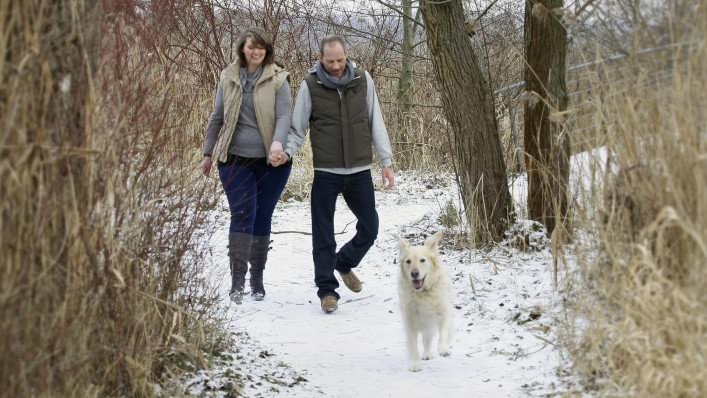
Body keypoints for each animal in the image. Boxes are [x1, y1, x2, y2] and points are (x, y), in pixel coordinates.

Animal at [398, 232, 454, 372]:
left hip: (430, 325)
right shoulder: (410, 321)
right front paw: (414, 364)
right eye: (408, 261)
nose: (414, 273)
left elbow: (444, 332)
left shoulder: (443, 313)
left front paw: (443, 349)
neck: (423, 293)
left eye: (422, 260)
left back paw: (428, 353)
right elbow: (413, 345)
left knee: (427, 339)